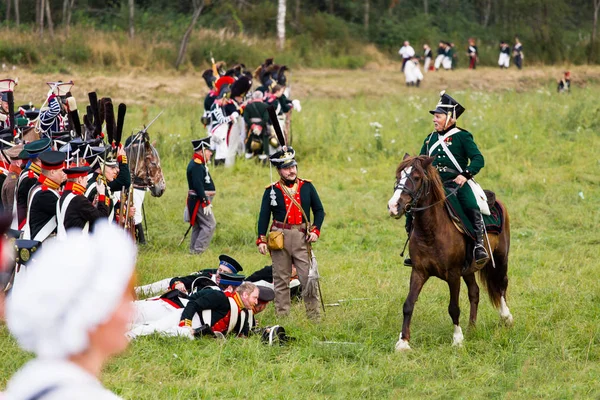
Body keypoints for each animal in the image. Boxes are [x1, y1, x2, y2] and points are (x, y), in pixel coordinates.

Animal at [386, 155, 512, 352]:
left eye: (416, 177)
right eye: (398, 176)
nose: (393, 206)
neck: (431, 231)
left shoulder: (453, 275)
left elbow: (453, 307)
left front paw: (457, 339)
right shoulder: (419, 272)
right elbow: (408, 304)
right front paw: (403, 342)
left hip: (500, 258)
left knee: (501, 284)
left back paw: (506, 317)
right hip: (469, 270)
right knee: (475, 292)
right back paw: (471, 328)